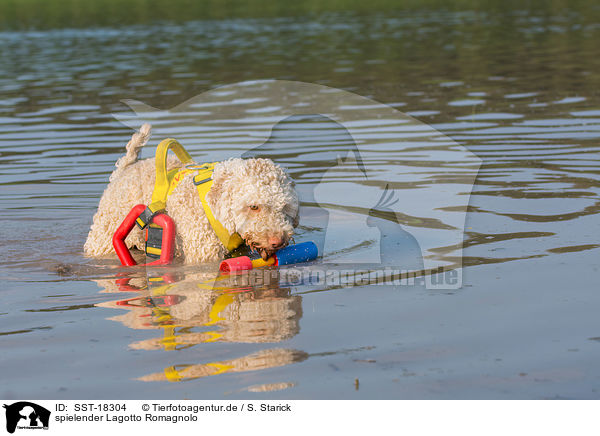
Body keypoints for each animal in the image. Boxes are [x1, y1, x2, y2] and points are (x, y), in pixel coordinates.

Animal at [83, 124, 298, 264]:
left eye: (285, 207)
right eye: (254, 206)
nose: (278, 241)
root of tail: (125, 169)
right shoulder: (203, 252)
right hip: (104, 237)